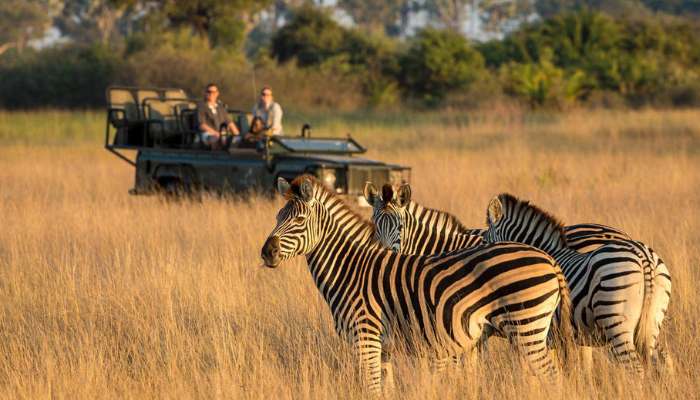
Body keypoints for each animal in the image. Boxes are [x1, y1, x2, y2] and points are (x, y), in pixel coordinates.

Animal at [262, 176, 576, 394]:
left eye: (299, 219)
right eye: (277, 217)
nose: (266, 252)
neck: (350, 268)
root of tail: (550, 260)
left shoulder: (366, 339)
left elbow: (370, 389)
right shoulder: (383, 348)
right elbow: (383, 390)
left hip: (527, 328)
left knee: (553, 378)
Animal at [482, 192, 672, 374]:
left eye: (486, 243)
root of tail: (644, 256)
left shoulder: (547, 333)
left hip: (616, 318)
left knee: (634, 367)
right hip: (651, 322)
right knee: (661, 359)